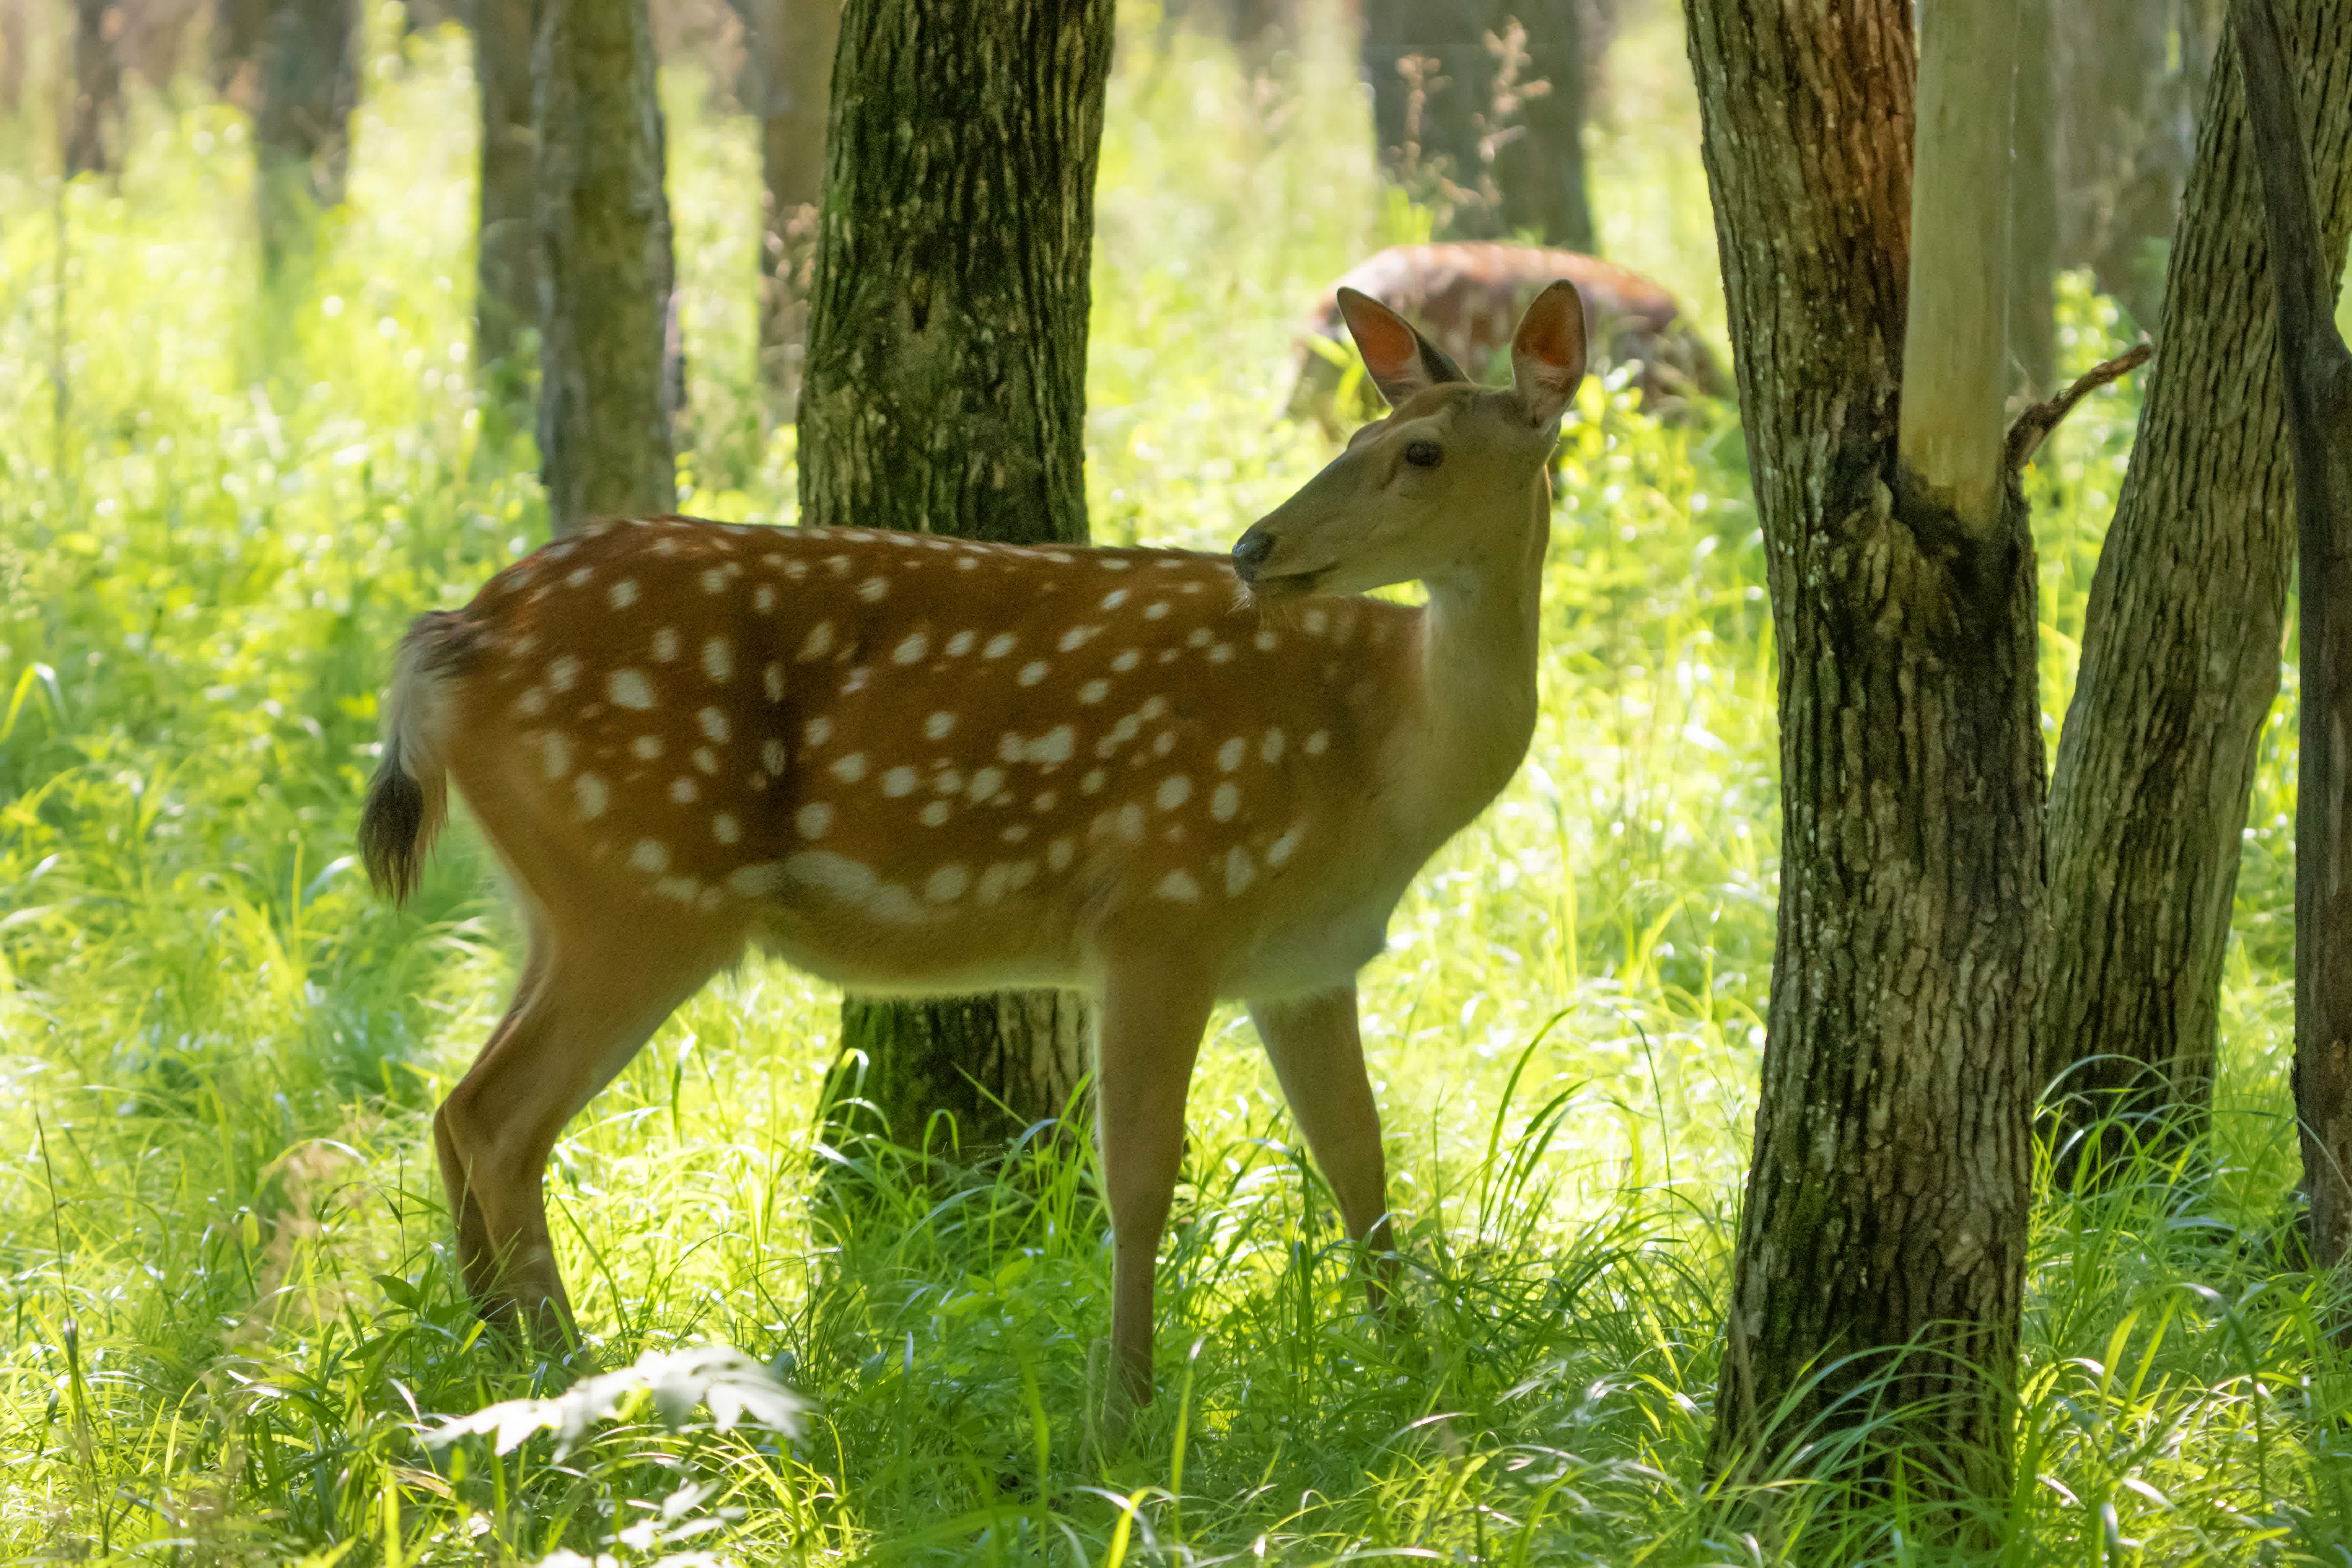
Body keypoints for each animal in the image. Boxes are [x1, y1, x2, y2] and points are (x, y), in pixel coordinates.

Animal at [353, 279, 1599, 1420]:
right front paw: (1124, 1411)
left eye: (1420, 451)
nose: (1256, 547)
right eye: (1355, 440)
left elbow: (1358, 1162)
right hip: (646, 884)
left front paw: (1414, 1376)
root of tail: (454, 634)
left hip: (559, 895)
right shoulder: (1163, 904)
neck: (1382, 762)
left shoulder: (1306, 963)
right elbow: (1141, 1174)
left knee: (455, 1109)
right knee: (500, 1117)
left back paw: (493, 1359)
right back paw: (566, 1375)